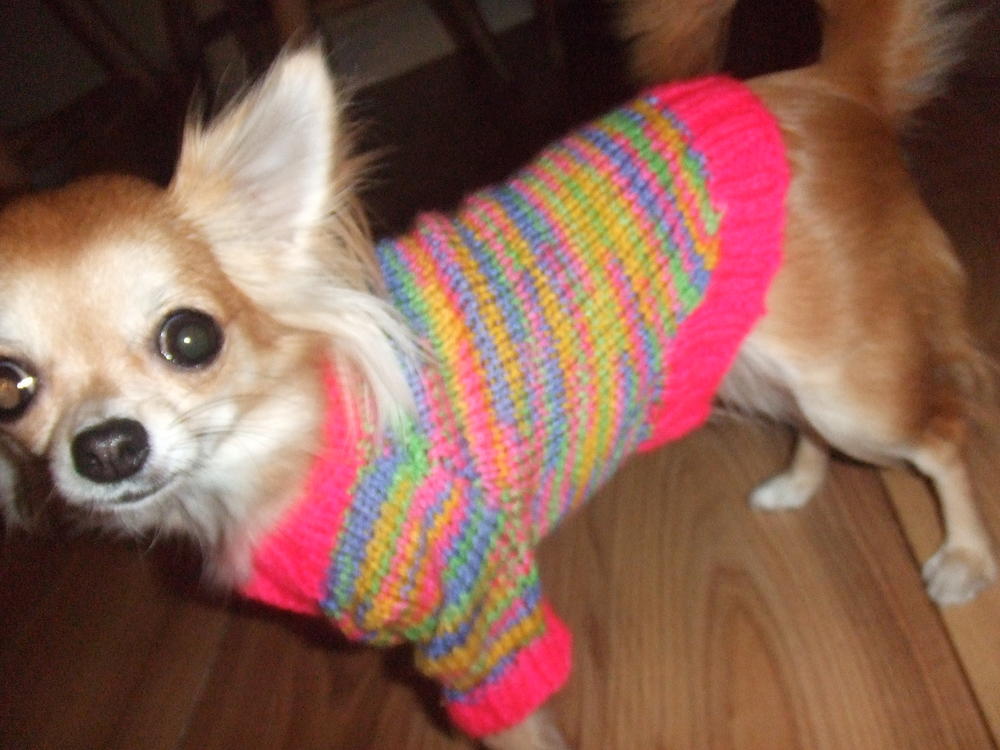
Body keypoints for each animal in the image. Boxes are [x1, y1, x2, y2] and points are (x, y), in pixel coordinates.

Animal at [0, 0, 994, 747]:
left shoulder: (483, 629)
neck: (291, 441)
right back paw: (795, 484)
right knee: (813, 431)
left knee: (942, 433)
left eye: (189, 338)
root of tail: (824, 84)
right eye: (10, 386)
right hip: (757, 363)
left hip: (849, 387)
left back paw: (963, 557)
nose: (108, 447)